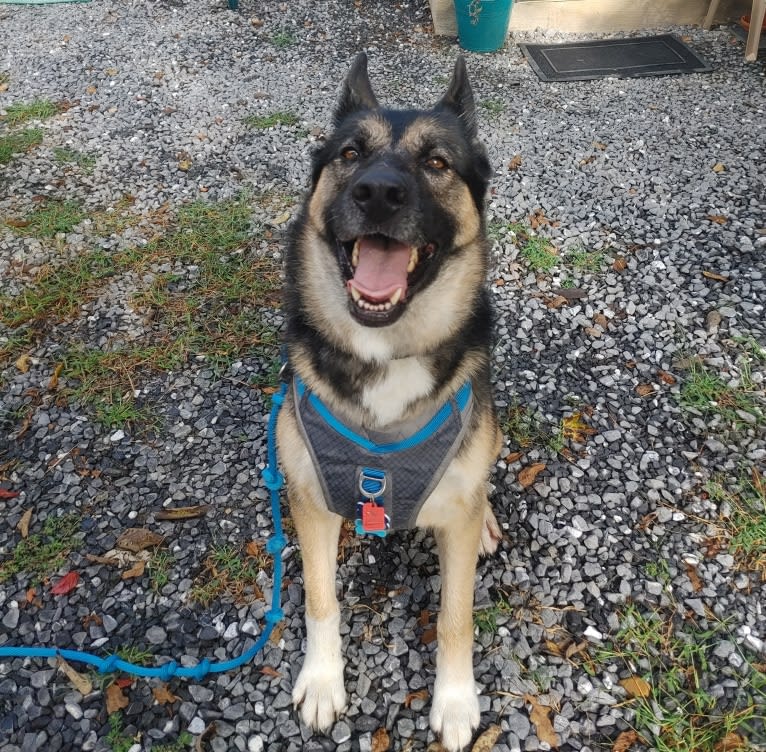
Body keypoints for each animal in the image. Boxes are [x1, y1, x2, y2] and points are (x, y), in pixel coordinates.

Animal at [276, 54, 504, 752]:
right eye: (350, 153)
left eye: (437, 162)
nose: (377, 193)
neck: (385, 354)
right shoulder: (308, 495)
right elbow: (321, 600)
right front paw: (323, 681)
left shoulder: (456, 514)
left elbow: (457, 616)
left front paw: (455, 703)